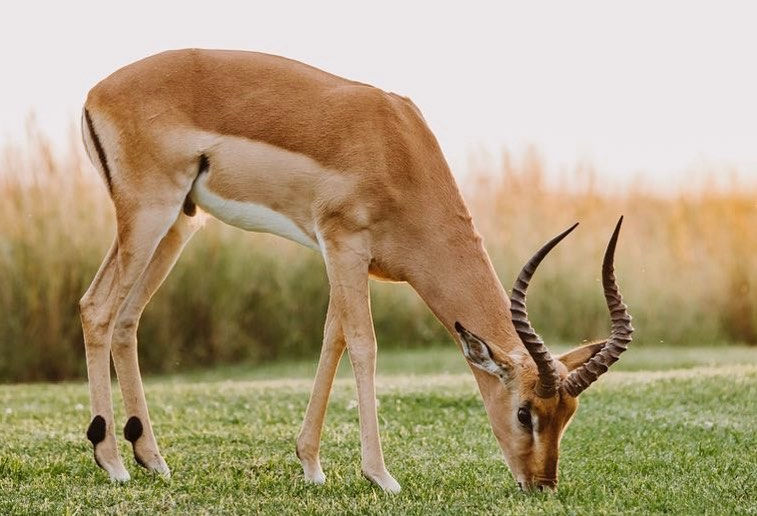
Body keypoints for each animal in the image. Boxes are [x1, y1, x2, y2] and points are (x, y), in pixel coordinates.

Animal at [79, 48, 633, 493]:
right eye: (524, 411)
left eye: (568, 414)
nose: (542, 485)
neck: (398, 149)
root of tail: (96, 91)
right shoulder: (344, 245)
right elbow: (364, 346)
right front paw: (380, 476)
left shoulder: (349, 262)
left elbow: (334, 340)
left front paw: (311, 465)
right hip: (150, 215)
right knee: (96, 308)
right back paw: (113, 463)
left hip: (179, 223)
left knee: (127, 319)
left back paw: (151, 459)